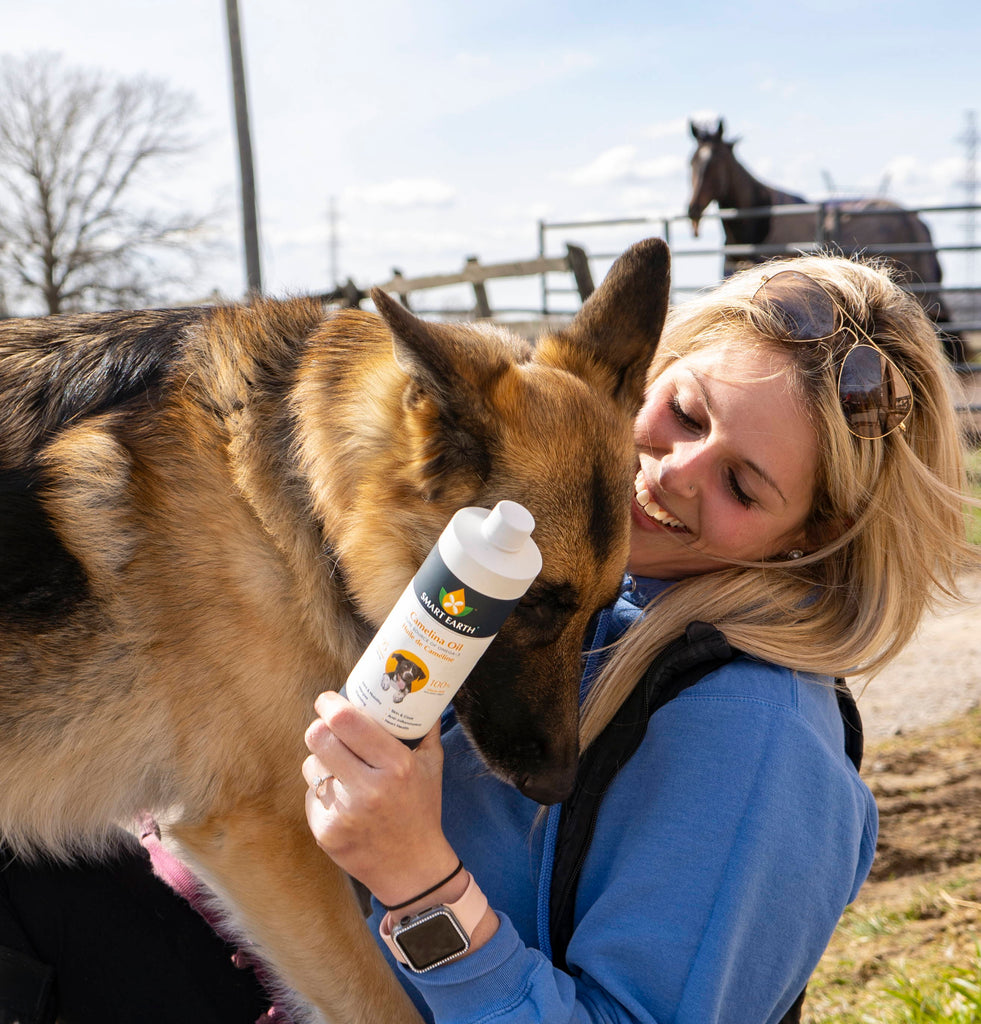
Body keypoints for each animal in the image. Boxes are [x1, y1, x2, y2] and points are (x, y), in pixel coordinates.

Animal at [0, 237, 667, 1015]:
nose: (560, 786)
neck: (293, 497)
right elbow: (380, 1005)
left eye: (603, 606)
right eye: (531, 603)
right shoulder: (262, 836)